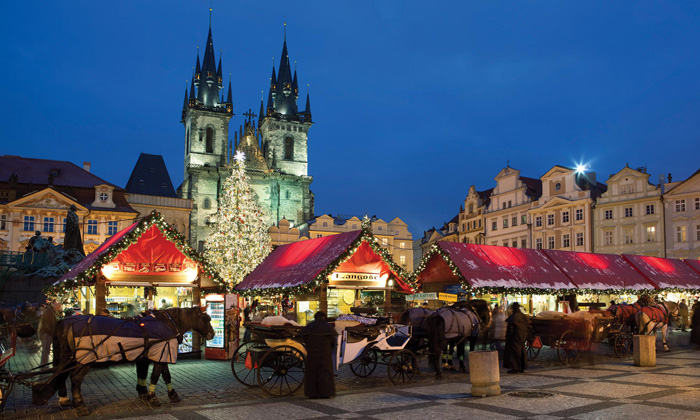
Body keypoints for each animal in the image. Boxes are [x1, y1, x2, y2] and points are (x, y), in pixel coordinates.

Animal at [30, 306, 216, 416]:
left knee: (59, 375)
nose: (213, 334)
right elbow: (157, 375)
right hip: (85, 360)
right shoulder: (162, 352)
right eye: (206, 318)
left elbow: (159, 375)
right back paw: (80, 405)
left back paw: (64, 399)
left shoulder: (152, 355)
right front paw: (153, 397)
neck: (167, 323)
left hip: (65, 355)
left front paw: (164, 394)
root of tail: (66, 321)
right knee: (75, 378)